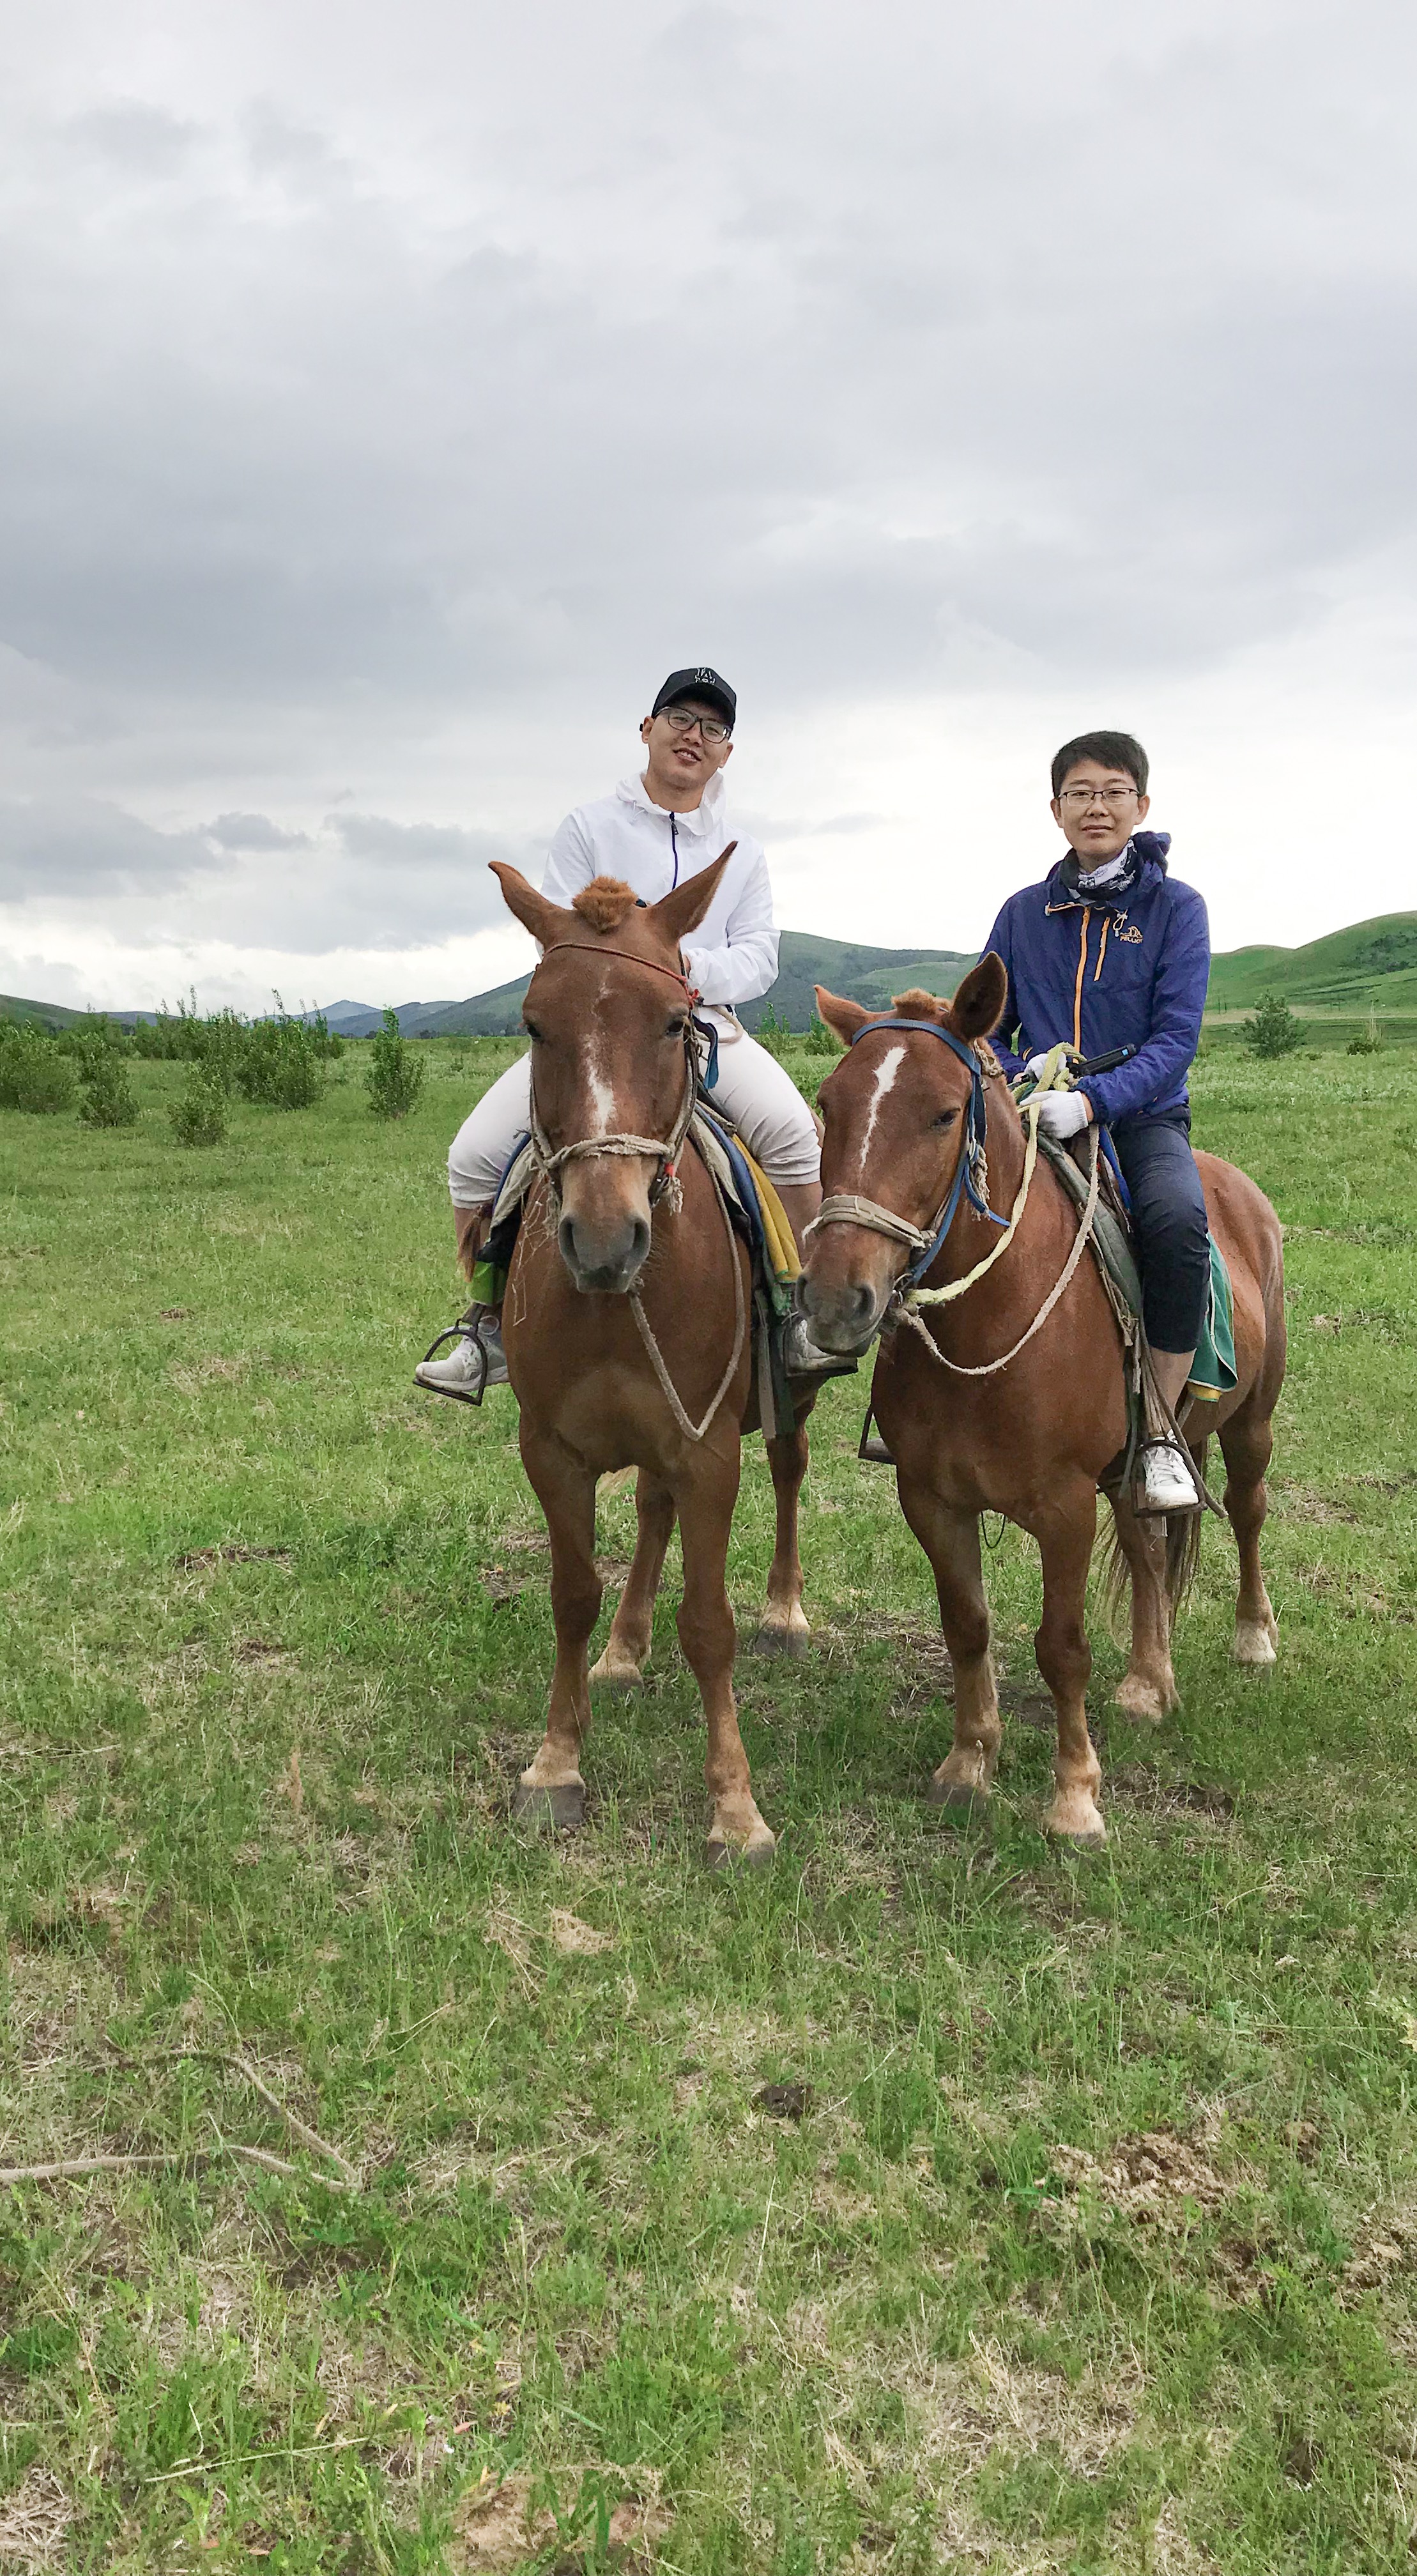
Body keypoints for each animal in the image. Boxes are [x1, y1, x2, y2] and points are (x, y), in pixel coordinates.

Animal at [492, 855, 824, 1865]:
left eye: (677, 1022)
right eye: (533, 1024)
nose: (605, 1239)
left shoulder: (708, 1449)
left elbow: (710, 1626)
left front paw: (735, 1810)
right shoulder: (552, 1451)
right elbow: (570, 1595)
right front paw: (555, 1764)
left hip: (784, 1406)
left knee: (788, 1472)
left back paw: (785, 1612)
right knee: (649, 1512)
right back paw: (625, 1649)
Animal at [804, 958, 1293, 1844]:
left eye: (942, 1114)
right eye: (830, 1104)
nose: (833, 1300)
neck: (985, 1320)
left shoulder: (1064, 1507)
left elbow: (1061, 1646)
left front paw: (1074, 1798)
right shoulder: (931, 1499)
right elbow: (967, 1627)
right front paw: (968, 1765)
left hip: (1250, 1425)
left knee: (1245, 1511)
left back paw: (1251, 1638)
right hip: (1133, 1463)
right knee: (1147, 1545)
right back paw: (1149, 1681)